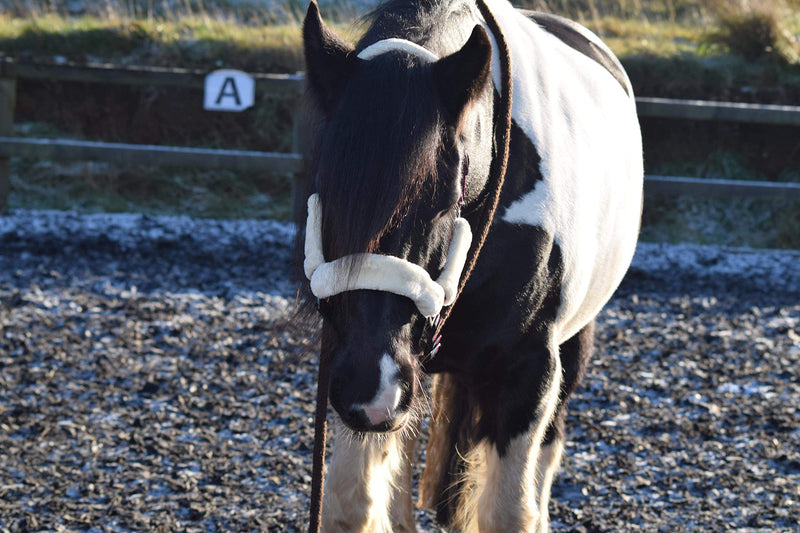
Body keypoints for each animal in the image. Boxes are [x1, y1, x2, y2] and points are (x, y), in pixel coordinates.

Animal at [300, 0, 644, 528]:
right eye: (325, 187)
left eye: (445, 199)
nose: (369, 388)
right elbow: (348, 505)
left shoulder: (528, 371)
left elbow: (509, 515)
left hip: (571, 346)